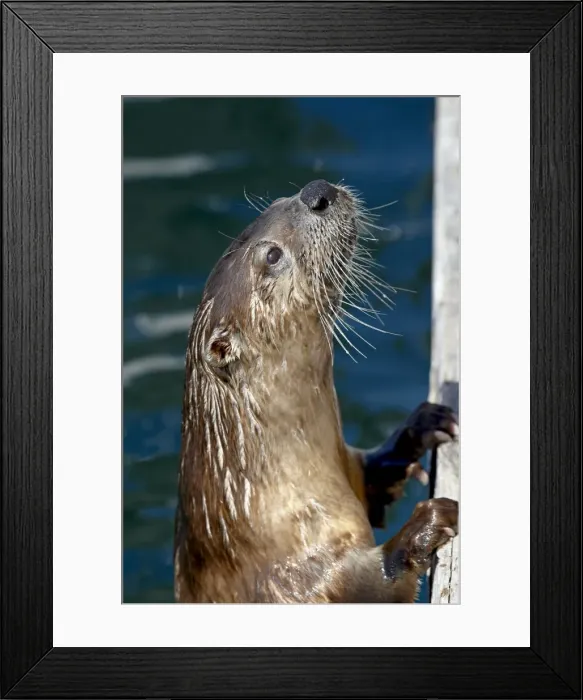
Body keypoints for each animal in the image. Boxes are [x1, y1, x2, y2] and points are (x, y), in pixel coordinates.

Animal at [174, 179, 458, 603]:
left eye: (277, 200)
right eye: (272, 256)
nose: (316, 191)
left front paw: (423, 425)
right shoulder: (292, 581)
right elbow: (364, 583)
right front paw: (423, 527)